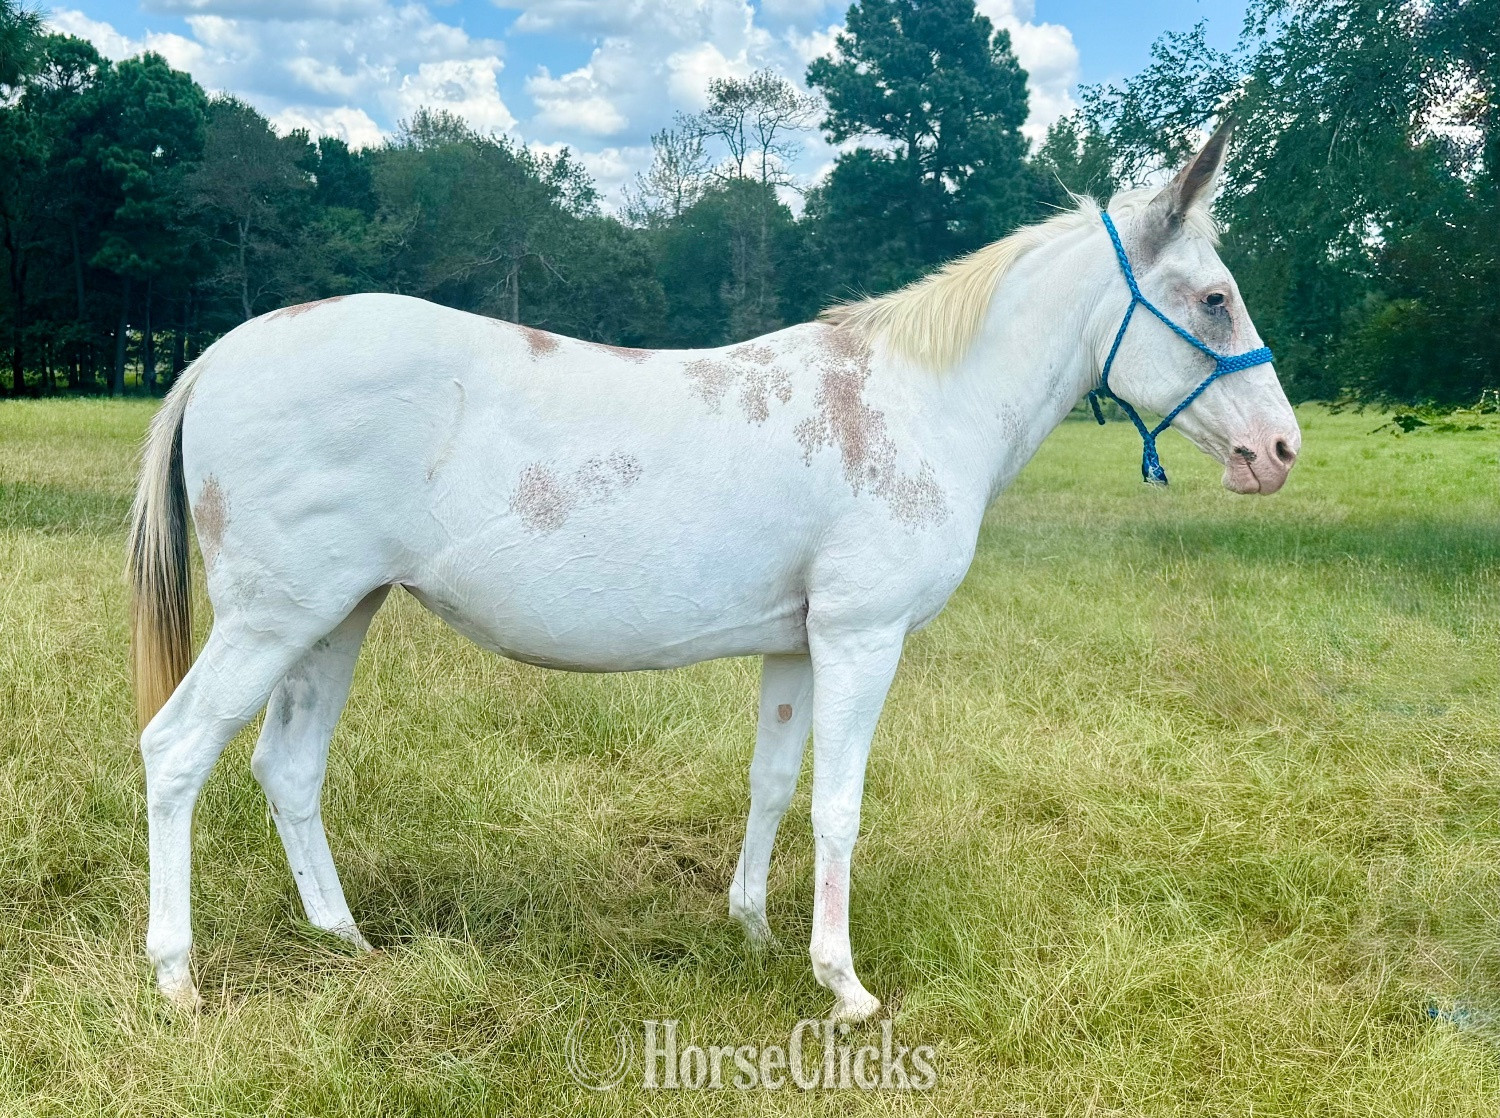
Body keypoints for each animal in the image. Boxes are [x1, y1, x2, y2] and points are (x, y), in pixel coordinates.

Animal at [128, 121, 1299, 1019]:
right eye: (1214, 298)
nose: (1279, 449)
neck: (919, 401)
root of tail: (218, 354)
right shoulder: (861, 637)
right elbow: (839, 803)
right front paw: (844, 984)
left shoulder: (798, 644)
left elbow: (774, 782)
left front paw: (754, 932)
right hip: (271, 620)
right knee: (177, 750)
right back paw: (178, 976)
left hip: (338, 616)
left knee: (288, 766)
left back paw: (345, 939)